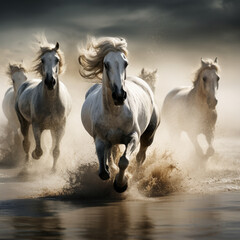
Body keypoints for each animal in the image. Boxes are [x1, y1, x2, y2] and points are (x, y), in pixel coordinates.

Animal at [14, 36, 71, 171]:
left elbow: (56, 151)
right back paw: (27, 164)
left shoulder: (60, 127)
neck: (51, 102)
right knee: (26, 143)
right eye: (42, 60)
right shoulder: (36, 126)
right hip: (24, 122)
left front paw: (54, 169)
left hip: (52, 128)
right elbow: (39, 150)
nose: (50, 82)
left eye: (57, 59)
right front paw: (35, 155)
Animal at [79, 36, 160, 192]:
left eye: (125, 63)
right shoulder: (100, 139)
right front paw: (109, 171)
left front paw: (121, 184)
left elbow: (124, 161)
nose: (119, 95)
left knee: (141, 156)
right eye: (106, 64)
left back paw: (136, 176)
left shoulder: (133, 137)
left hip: (149, 135)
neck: (115, 113)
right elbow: (103, 168)